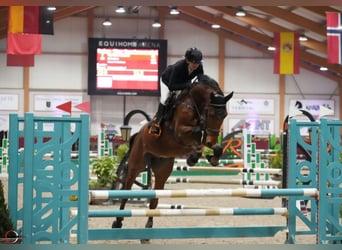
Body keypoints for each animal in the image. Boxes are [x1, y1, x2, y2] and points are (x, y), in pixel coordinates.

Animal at [112, 74, 232, 242]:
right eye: (212, 113)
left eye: (225, 115)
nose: (211, 140)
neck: (194, 104)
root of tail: (137, 135)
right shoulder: (180, 132)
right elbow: (197, 134)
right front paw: (194, 157)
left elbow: (212, 146)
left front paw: (211, 157)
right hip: (136, 165)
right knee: (127, 191)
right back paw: (117, 221)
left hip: (162, 170)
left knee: (154, 199)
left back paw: (147, 230)